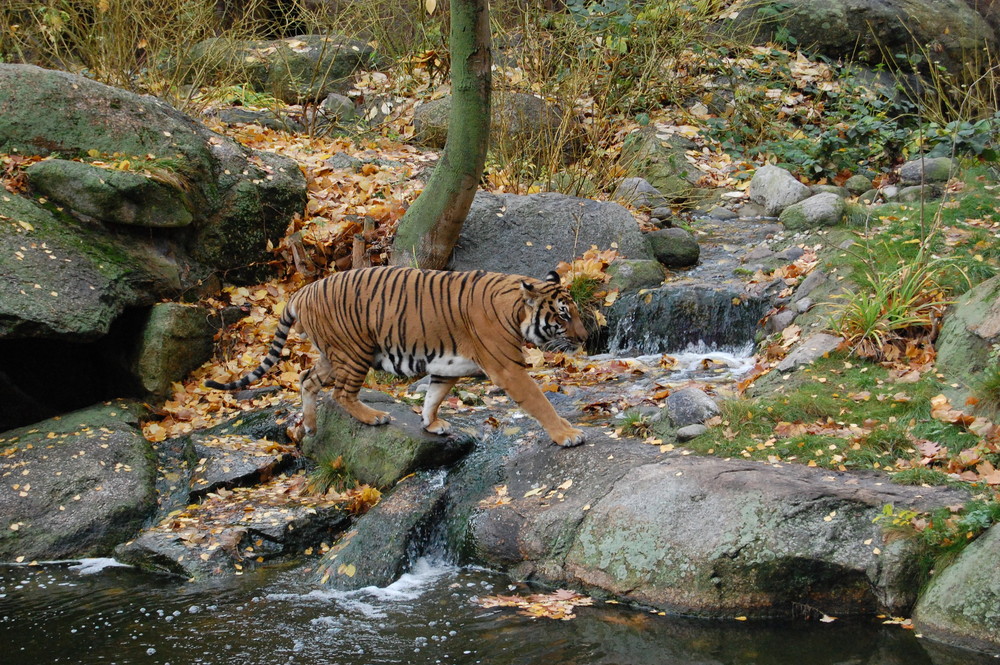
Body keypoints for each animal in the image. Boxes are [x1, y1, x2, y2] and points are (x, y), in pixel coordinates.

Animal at [206, 264, 588, 446]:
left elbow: (434, 396)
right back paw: (372, 416)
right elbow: (540, 402)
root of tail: (303, 290)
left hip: (332, 354)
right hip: (355, 350)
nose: (586, 337)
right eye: (564, 315)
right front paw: (567, 434)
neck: (515, 310)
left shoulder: (447, 366)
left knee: (306, 379)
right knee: (341, 393)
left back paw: (312, 425)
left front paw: (431, 423)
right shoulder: (509, 368)